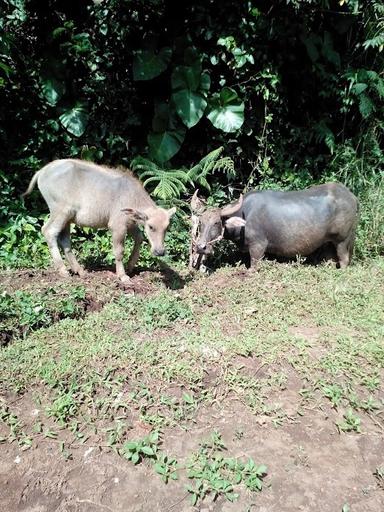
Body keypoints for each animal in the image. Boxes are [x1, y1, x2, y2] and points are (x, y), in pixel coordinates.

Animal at [22, 159, 176, 282]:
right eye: (151, 227)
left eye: (167, 227)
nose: (160, 252)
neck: (131, 196)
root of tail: (42, 171)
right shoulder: (118, 226)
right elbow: (119, 251)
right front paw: (123, 275)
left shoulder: (131, 224)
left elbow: (139, 238)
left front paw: (131, 266)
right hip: (61, 211)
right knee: (49, 231)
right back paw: (63, 270)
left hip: (68, 218)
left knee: (64, 239)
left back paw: (79, 270)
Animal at [194, 184, 358, 270]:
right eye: (201, 222)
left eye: (216, 222)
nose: (201, 247)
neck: (244, 215)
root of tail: (353, 197)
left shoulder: (258, 246)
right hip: (329, 242)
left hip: (343, 240)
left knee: (344, 260)